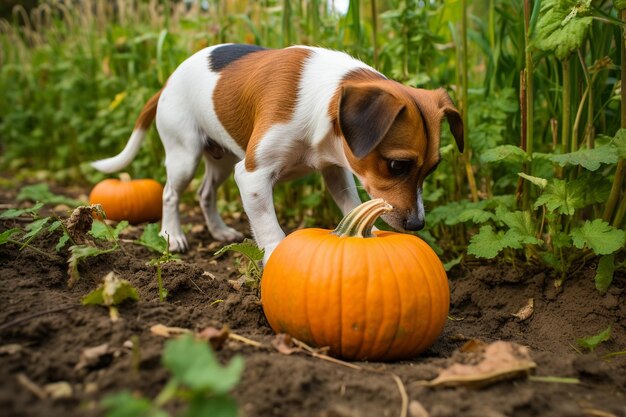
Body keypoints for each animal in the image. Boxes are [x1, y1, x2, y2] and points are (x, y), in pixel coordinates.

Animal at [92, 43, 464, 264]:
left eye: (432, 169)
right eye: (397, 165)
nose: (417, 224)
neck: (325, 95)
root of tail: (167, 82)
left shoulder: (337, 170)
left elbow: (352, 206)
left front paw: (364, 233)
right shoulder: (253, 175)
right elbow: (271, 230)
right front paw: (275, 256)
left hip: (222, 161)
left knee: (205, 193)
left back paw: (219, 232)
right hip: (185, 154)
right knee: (171, 193)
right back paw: (173, 236)